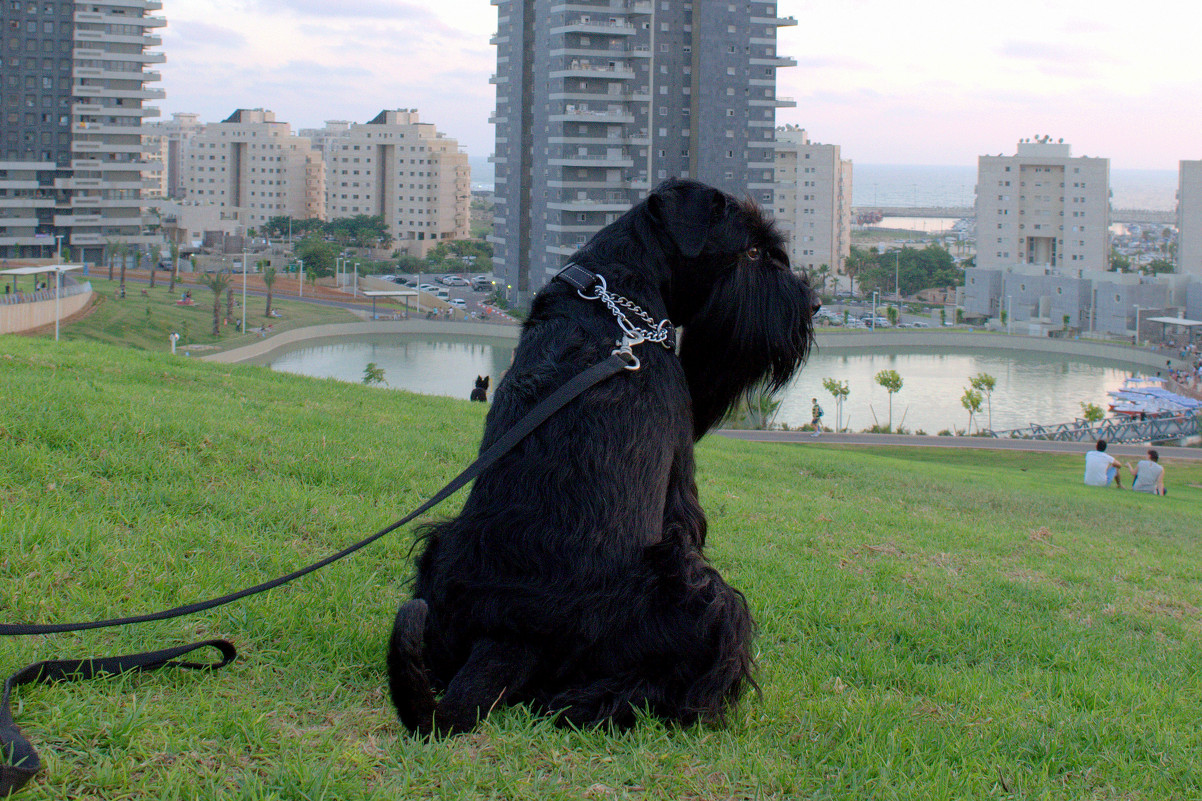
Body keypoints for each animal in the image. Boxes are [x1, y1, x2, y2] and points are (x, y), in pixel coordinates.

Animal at [384, 178, 817, 731]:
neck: (614, 295)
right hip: (701, 593)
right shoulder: (680, 475)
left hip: (437, 549)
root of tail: (508, 631)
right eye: (754, 251)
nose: (814, 306)